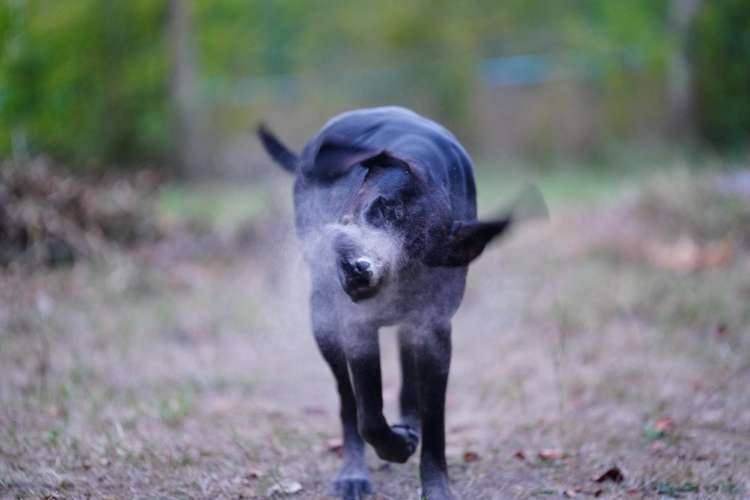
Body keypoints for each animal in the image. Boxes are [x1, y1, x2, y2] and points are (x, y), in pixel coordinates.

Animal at [260, 107, 548, 498]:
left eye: (416, 248)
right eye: (380, 206)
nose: (359, 269)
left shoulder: (434, 331)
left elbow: (434, 417)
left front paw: (435, 484)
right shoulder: (358, 328)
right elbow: (368, 415)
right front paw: (393, 446)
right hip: (323, 322)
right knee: (347, 402)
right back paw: (354, 470)